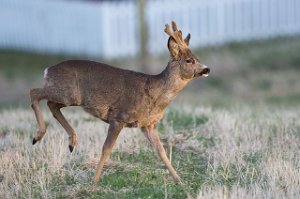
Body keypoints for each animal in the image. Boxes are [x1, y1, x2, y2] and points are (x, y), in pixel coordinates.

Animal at [29, 21, 210, 183]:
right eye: (189, 60)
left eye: (197, 57)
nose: (207, 69)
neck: (155, 93)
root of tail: (48, 70)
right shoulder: (119, 117)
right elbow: (106, 149)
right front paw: (94, 182)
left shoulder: (148, 125)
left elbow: (161, 151)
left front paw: (180, 181)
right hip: (68, 94)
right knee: (34, 92)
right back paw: (38, 136)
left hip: (70, 97)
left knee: (51, 104)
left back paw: (71, 142)